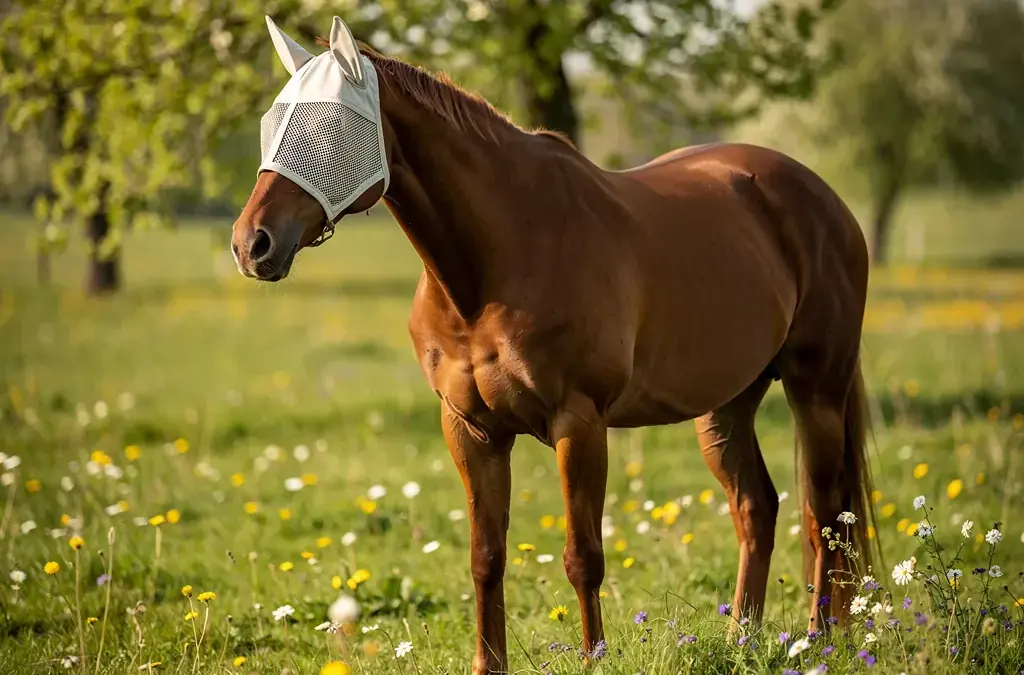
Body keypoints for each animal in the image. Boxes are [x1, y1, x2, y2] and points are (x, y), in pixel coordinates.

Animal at [231, 16, 878, 674]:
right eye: (271, 123)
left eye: (328, 124)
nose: (251, 243)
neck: (499, 260)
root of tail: (819, 196)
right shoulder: (470, 429)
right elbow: (485, 557)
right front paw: (488, 664)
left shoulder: (579, 423)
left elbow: (582, 556)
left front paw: (593, 657)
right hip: (726, 405)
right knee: (757, 508)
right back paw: (742, 640)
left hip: (816, 389)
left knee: (826, 514)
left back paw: (819, 640)